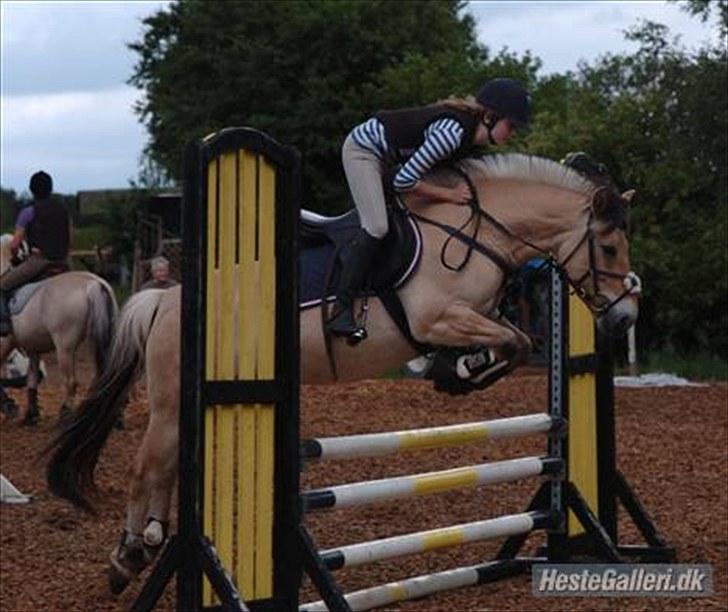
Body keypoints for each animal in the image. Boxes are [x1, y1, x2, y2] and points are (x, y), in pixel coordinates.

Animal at [0, 235, 116, 426]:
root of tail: (93, 283)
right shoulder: (33, 348)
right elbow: (32, 378)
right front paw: (31, 414)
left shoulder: (5, 344)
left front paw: (10, 407)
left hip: (65, 347)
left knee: (70, 382)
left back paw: (65, 415)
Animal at [47, 153, 636, 592]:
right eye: (608, 247)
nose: (624, 318)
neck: (476, 232)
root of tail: (166, 299)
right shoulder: (437, 316)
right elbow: (514, 342)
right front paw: (461, 370)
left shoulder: (475, 316)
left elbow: (515, 341)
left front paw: (458, 369)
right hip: (172, 397)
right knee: (145, 466)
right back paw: (128, 555)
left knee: (164, 465)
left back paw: (147, 542)